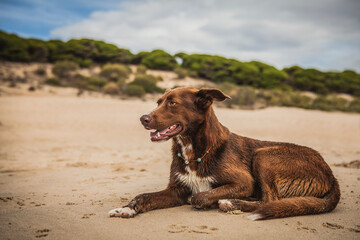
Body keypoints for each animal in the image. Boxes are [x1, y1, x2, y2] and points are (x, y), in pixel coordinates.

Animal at [108, 87, 338, 220]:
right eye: (158, 102)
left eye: (173, 103)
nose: (143, 118)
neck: (193, 149)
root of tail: (331, 175)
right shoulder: (176, 190)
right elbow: (142, 196)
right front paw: (126, 209)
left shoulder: (243, 182)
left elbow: (199, 196)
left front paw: (211, 200)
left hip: (264, 155)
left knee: (271, 200)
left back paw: (231, 203)